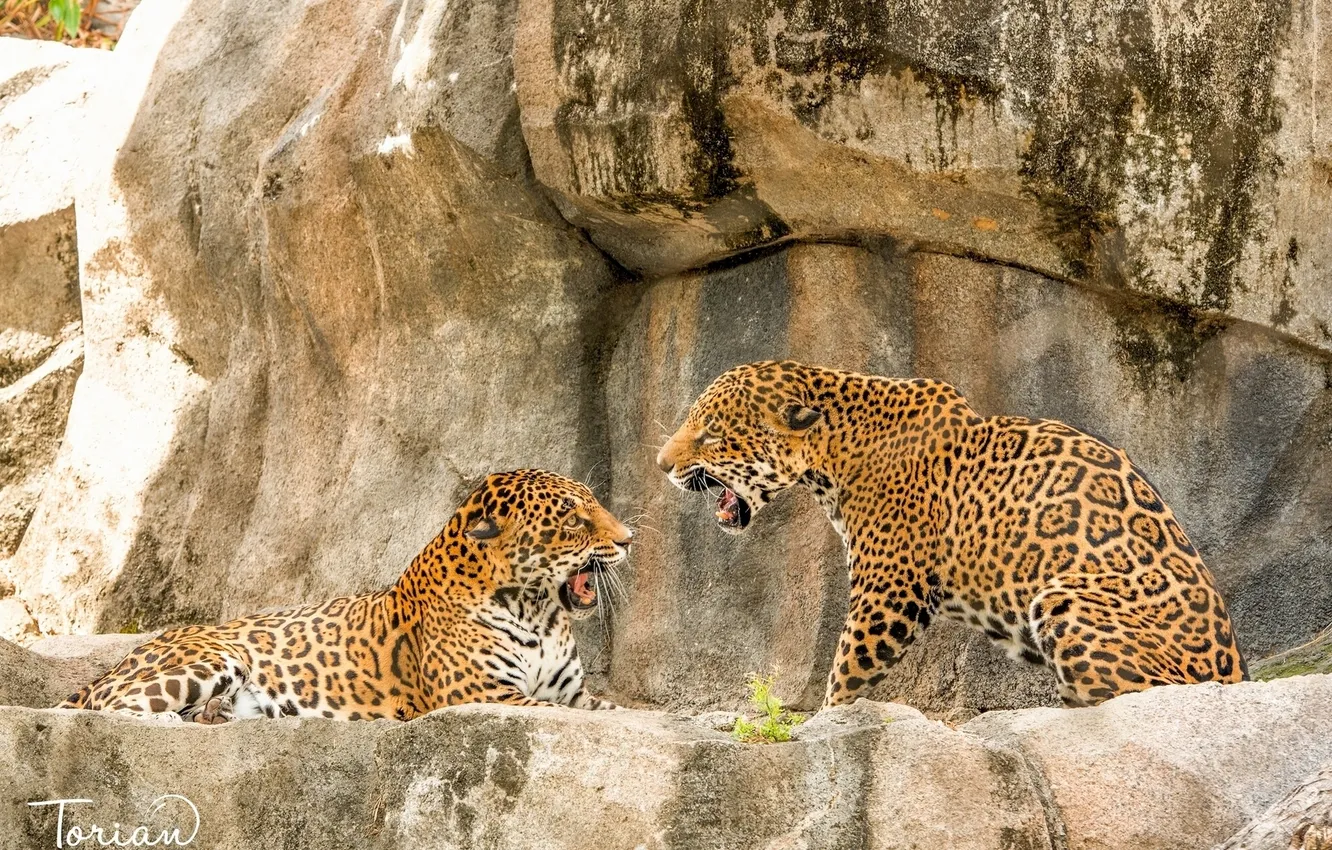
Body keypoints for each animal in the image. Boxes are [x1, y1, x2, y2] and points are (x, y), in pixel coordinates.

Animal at [58, 469, 631, 723]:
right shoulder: (482, 694)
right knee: (110, 712)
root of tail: (117, 662)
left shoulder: (572, 692)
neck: (537, 610)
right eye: (574, 520)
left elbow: (607, 707)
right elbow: (580, 715)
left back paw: (216, 714)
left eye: (595, 504)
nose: (627, 540)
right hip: (208, 658)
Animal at [657, 360, 1246, 708]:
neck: (834, 449)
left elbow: (846, 673)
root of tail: (1236, 671)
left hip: (1064, 599)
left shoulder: (888, 592)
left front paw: (822, 724)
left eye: (711, 435)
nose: (661, 464)